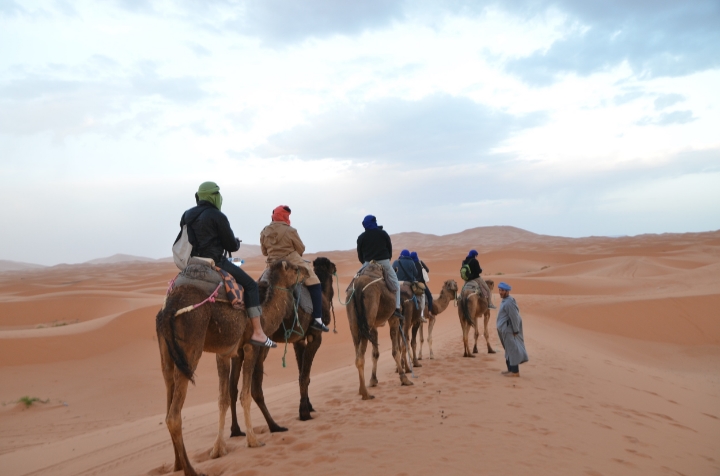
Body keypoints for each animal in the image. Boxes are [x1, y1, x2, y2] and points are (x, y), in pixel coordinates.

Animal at [155, 260, 306, 476]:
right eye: (294, 268)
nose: (306, 271)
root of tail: (168, 309)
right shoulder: (251, 346)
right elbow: (245, 395)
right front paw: (253, 441)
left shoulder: (225, 353)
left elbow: (224, 398)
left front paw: (218, 449)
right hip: (190, 346)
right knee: (174, 416)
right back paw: (191, 470)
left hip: (167, 356)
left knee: (168, 402)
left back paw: (177, 464)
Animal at [229, 258, 338, 436]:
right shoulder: (315, 336)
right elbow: (304, 375)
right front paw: (304, 413)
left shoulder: (298, 339)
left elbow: (302, 373)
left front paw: (308, 406)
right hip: (260, 346)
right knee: (255, 388)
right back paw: (274, 426)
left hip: (237, 350)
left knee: (231, 387)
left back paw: (236, 430)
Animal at [348, 260, 414, 398]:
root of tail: (358, 287)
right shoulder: (393, 319)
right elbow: (395, 350)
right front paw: (404, 378)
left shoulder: (373, 327)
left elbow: (375, 353)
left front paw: (373, 380)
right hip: (367, 320)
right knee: (360, 358)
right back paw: (366, 394)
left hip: (354, 325)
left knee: (357, 355)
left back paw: (361, 390)